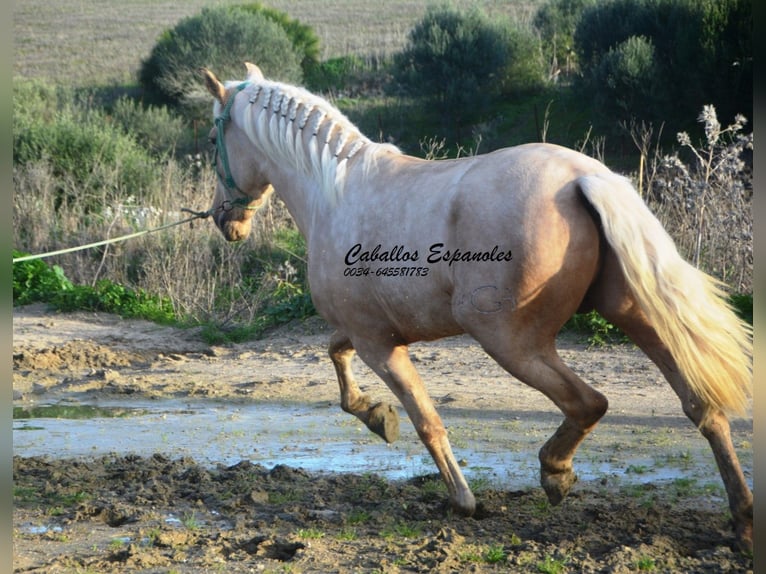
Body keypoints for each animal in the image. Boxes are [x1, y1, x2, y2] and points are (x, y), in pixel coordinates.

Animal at [201, 63, 752, 549]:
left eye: (212, 139)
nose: (224, 221)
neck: (334, 193)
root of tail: (582, 178)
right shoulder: (369, 330)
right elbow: (337, 358)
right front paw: (377, 416)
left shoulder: (378, 342)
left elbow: (425, 417)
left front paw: (461, 500)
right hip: (633, 314)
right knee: (702, 406)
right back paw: (742, 522)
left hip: (510, 341)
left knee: (589, 403)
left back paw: (556, 475)